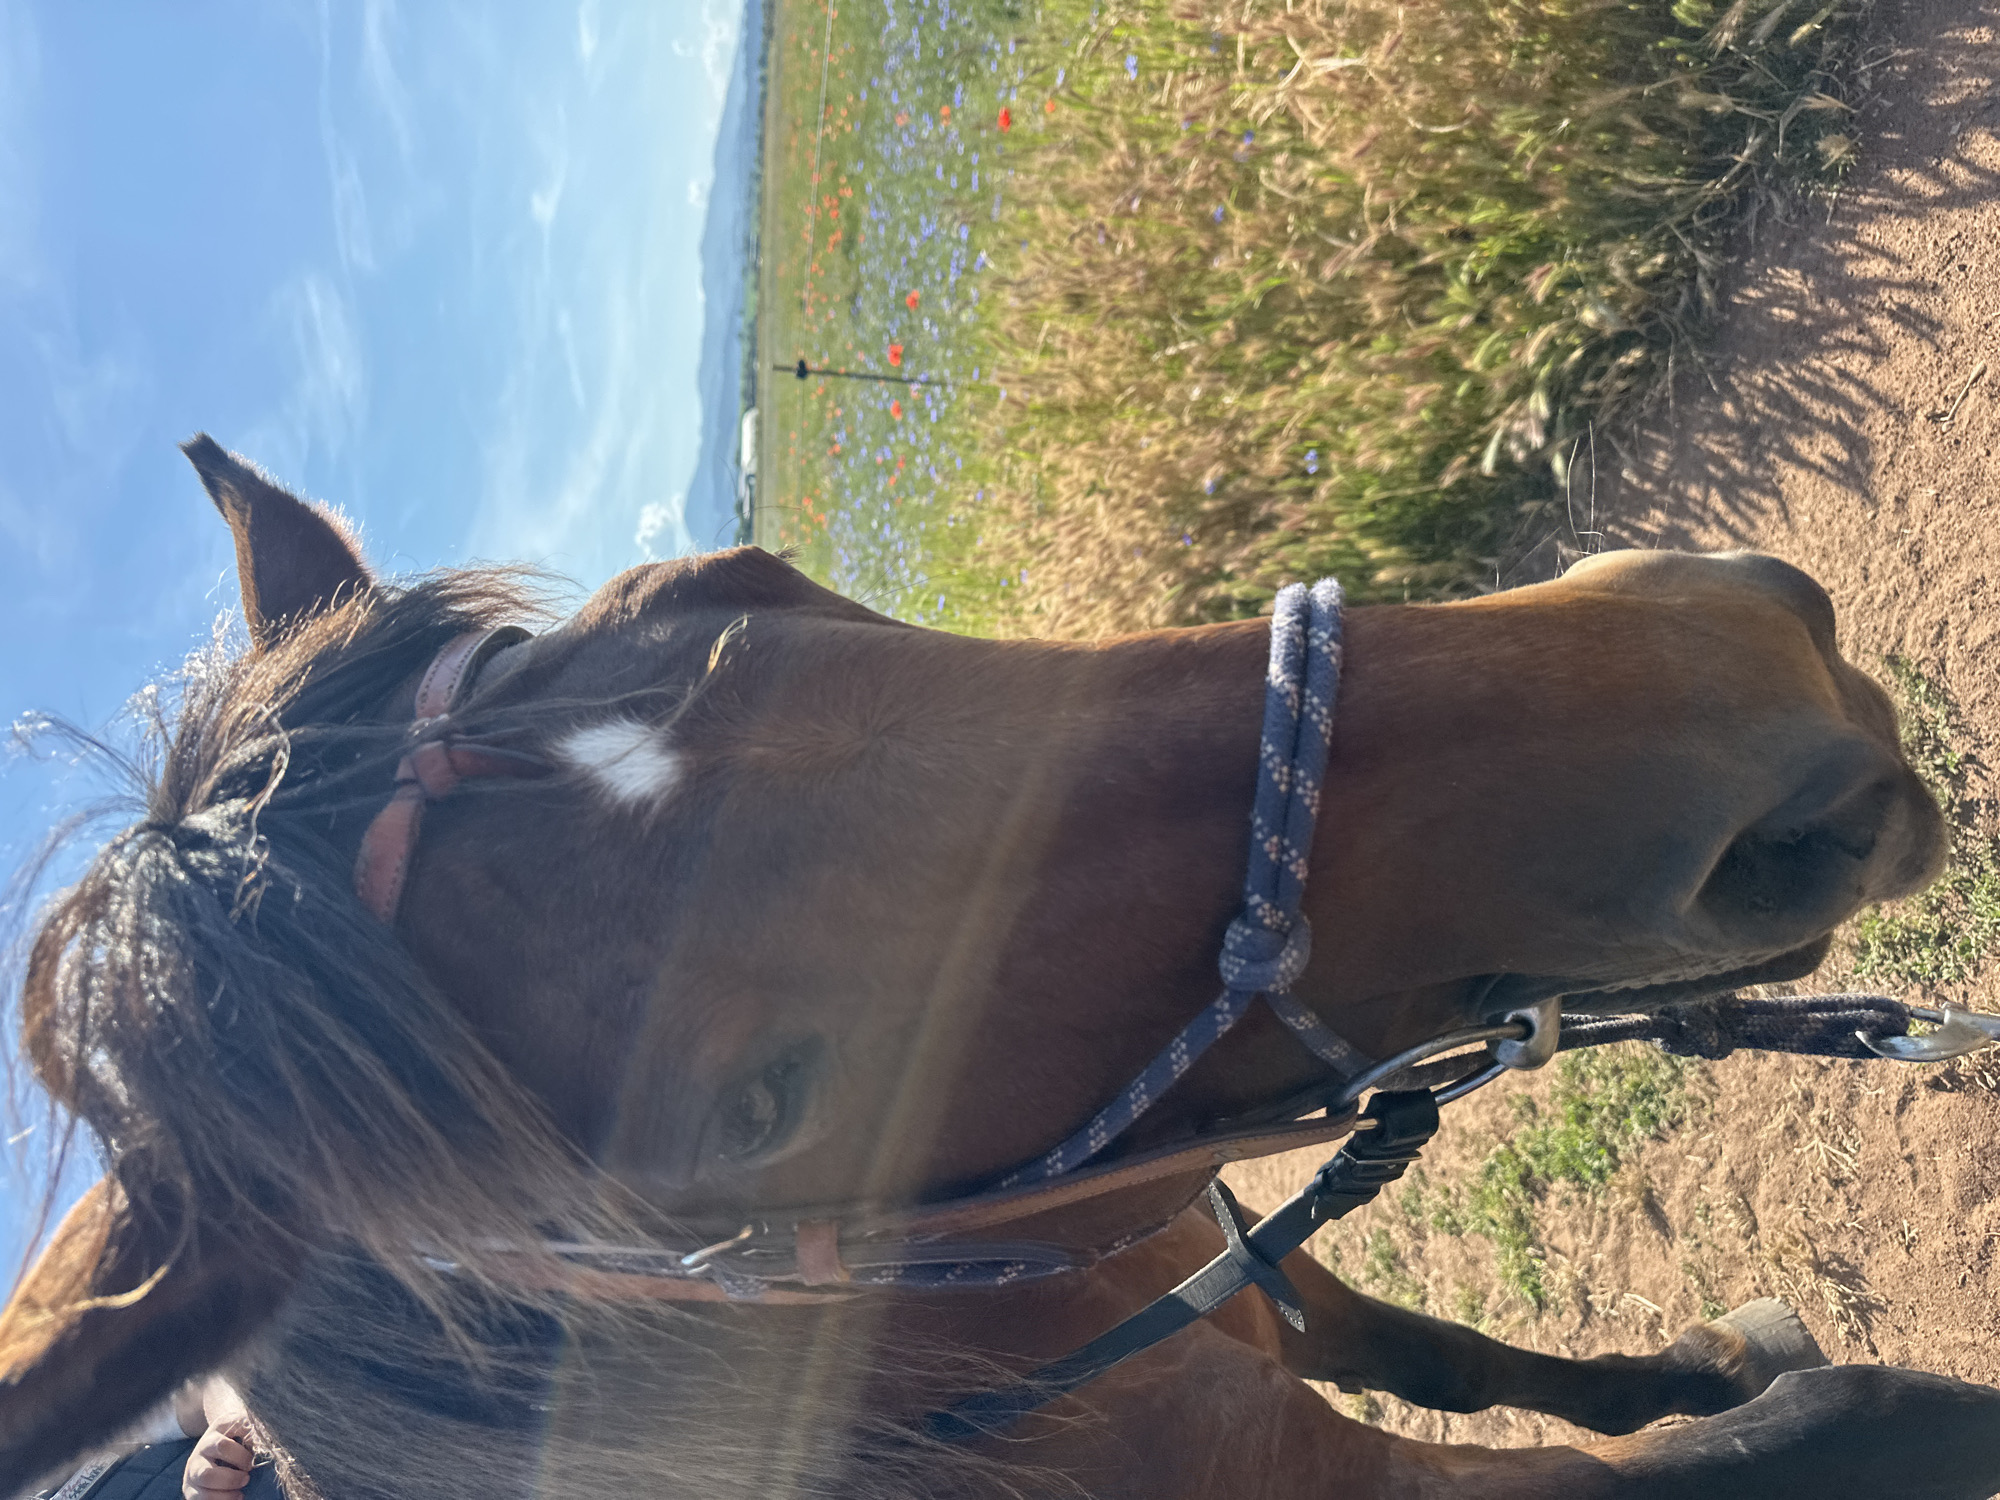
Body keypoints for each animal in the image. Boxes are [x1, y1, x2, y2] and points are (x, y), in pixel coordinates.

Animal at [4, 435, 1998, 1500]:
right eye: (756, 1109)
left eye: (738, 574)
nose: (1730, 679)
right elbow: (1826, 1423)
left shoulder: (1210, 1253)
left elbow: (1468, 1354)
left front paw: (1703, 1357)